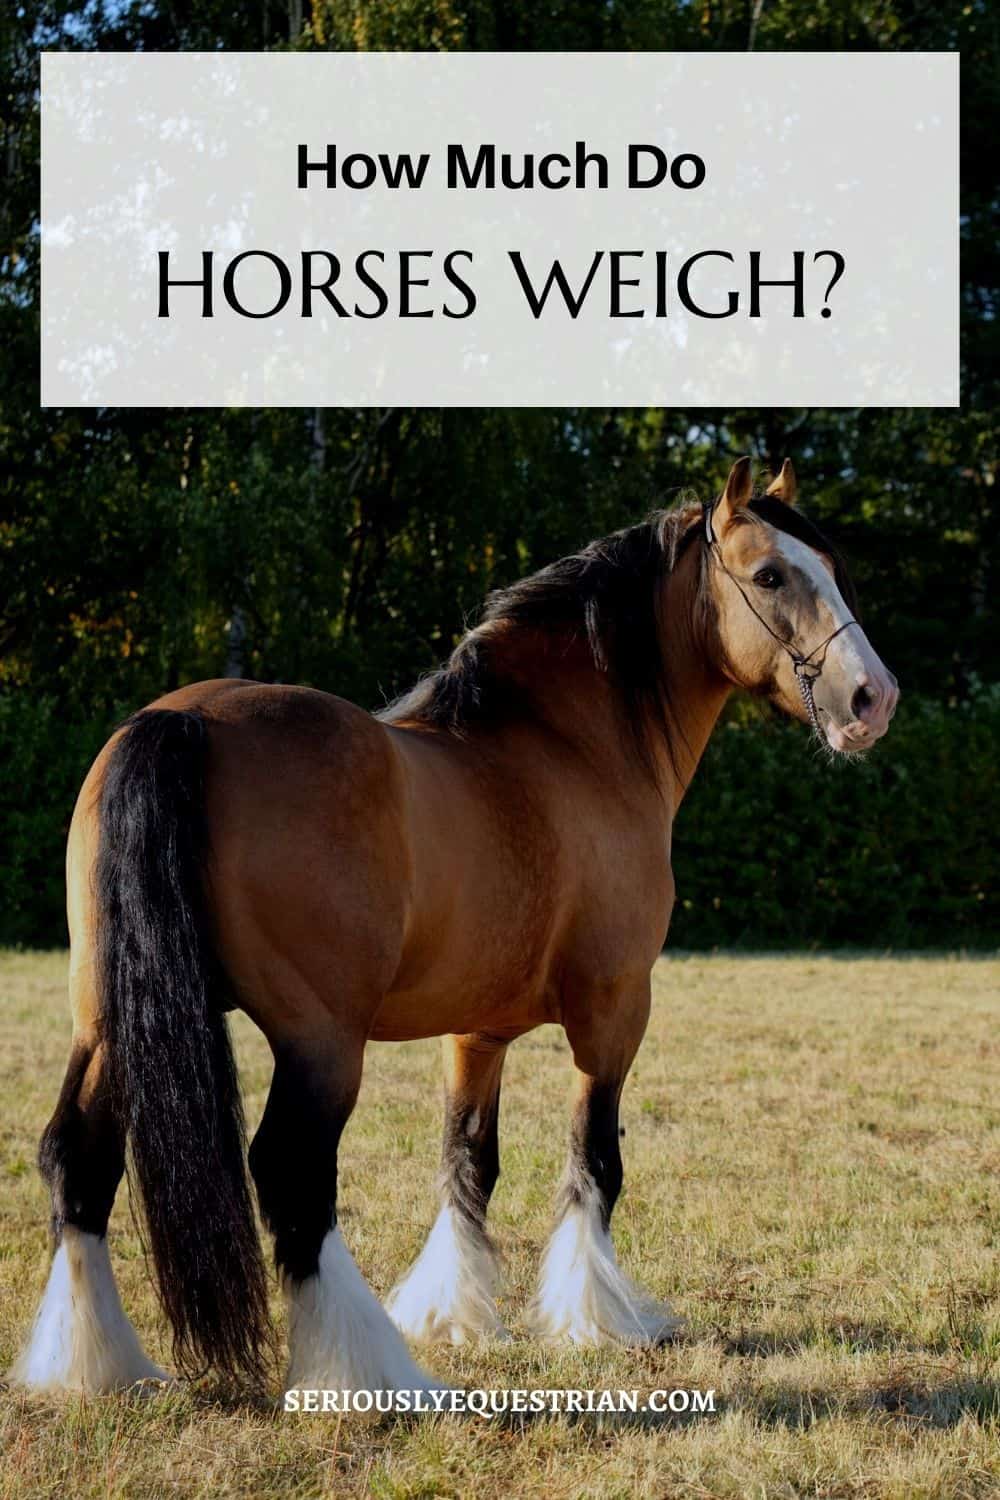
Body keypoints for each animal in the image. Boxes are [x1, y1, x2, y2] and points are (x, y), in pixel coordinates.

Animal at [9, 457, 898, 1397]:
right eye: (769, 575)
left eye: (831, 566)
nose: (873, 699)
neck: (566, 749)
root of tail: (184, 722)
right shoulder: (615, 1010)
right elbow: (595, 1161)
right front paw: (596, 1318)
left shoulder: (476, 1032)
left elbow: (469, 1162)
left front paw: (456, 1313)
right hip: (321, 1041)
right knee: (292, 1176)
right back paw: (359, 1370)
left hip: (111, 1018)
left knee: (78, 1159)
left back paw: (95, 1365)